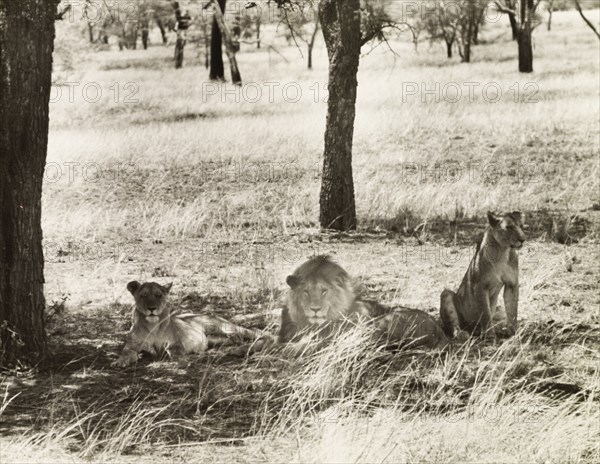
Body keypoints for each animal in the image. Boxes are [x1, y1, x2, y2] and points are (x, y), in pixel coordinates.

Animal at [112, 280, 270, 368]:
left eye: (158, 295)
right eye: (143, 295)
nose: (152, 308)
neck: (152, 325)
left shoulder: (176, 343)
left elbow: (175, 351)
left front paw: (183, 361)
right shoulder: (131, 346)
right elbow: (126, 353)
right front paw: (120, 362)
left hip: (223, 326)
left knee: (261, 333)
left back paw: (244, 348)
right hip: (216, 338)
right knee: (235, 339)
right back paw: (237, 348)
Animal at [440, 211, 524, 340]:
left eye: (521, 226)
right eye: (510, 227)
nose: (523, 239)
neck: (503, 251)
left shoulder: (512, 284)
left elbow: (512, 310)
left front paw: (512, 331)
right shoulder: (480, 286)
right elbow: (485, 312)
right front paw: (489, 334)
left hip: (499, 309)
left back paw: (498, 328)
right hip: (447, 295)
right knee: (454, 325)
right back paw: (462, 333)